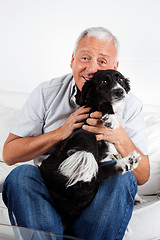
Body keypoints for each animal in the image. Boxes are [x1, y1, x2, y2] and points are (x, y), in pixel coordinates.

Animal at [39, 69, 141, 232]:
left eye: (120, 79)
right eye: (103, 81)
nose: (120, 91)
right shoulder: (88, 118)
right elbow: (105, 103)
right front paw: (111, 118)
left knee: (98, 174)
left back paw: (128, 162)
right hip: (80, 141)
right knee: (90, 171)